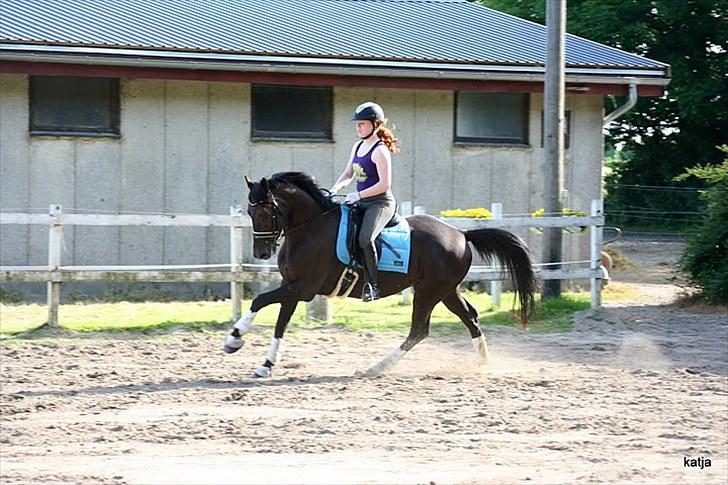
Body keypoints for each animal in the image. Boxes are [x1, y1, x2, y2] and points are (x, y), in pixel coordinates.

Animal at [225, 172, 536, 376]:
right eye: (250, 213)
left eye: (265, 213)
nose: (261, 253)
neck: (310, 228)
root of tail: (460, 234)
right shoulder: (292, 287)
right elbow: (280, 324)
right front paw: (265, 364)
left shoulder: (302, 289)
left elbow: (259, 301)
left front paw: (234, 338)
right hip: (447, 291)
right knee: (470, 317)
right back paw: (483, 363)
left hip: (428, 292)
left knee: (419, 330)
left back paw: (377, 367)